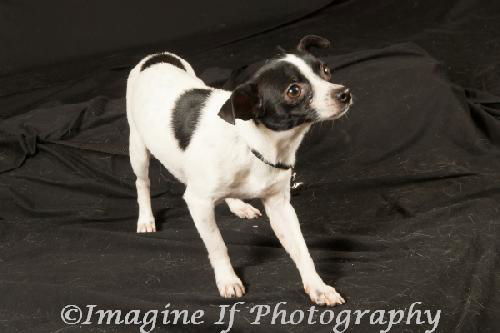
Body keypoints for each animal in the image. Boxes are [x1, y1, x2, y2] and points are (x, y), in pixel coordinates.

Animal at [125, 35, 352, 304]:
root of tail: (156, 56)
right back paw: (146, 218)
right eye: (293, 90)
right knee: (142, 183)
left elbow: (301, 249)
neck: (252, 142)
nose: (344, 93)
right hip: (138, 149)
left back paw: (238, 205)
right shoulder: (198, 203)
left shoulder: (280, 206)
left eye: (325, 70)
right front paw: (228, 279)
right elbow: (217, 245)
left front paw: (318, 286)